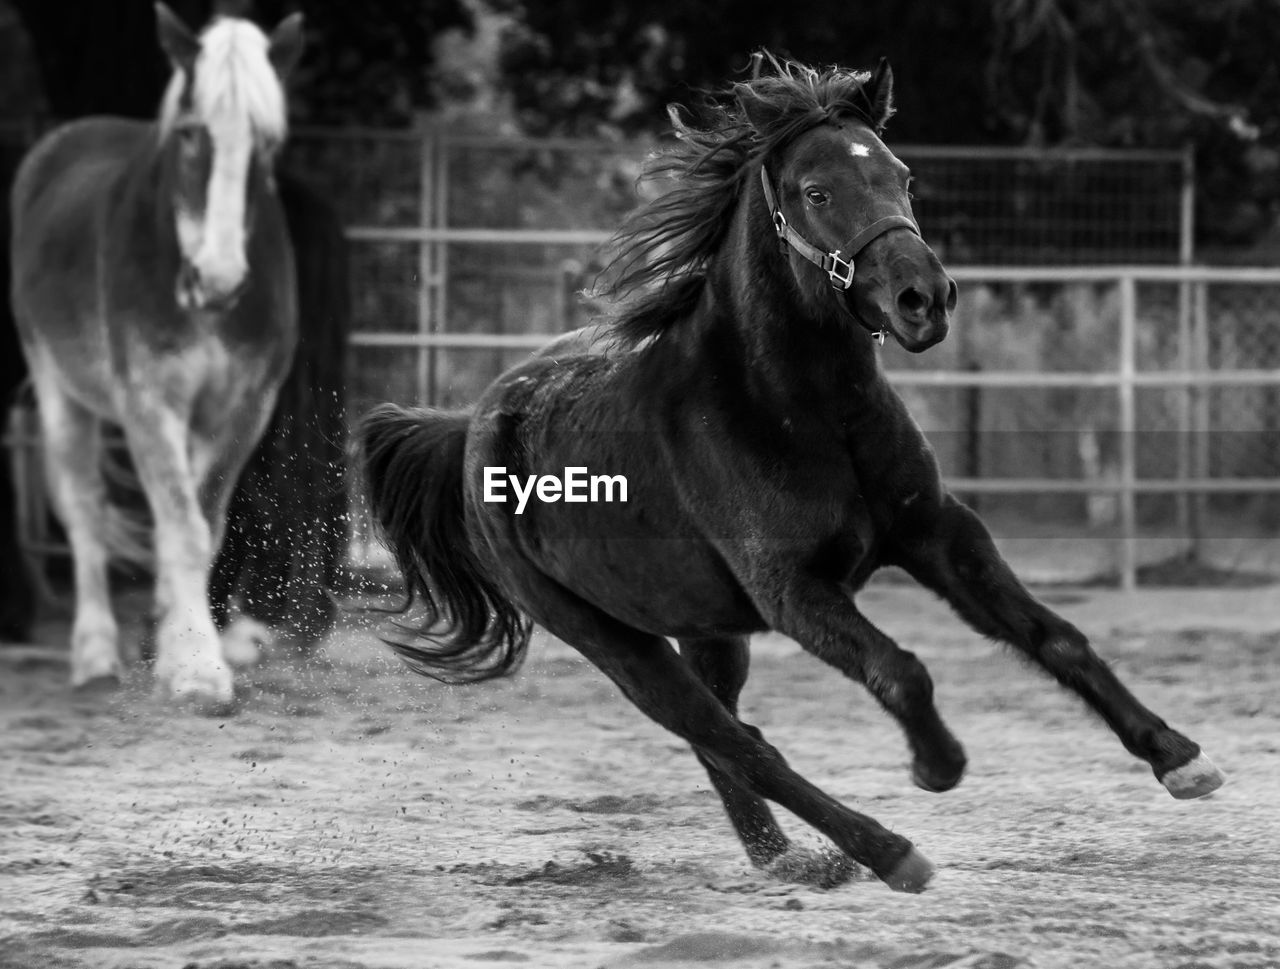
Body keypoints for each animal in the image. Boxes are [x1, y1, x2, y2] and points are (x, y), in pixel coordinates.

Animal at [358, 58, 1218, 890]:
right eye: (817, 191)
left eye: (903, 176)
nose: (925, 299)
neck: (799, 410)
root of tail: (475, 427)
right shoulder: (793, 589)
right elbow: (900, 670)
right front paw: (937, 764)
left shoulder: (938, 534)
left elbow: (1055, 636)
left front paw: (1179, 757)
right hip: (612, 640)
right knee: (737, 744)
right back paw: (884, 852)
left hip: (708, 630)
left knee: (727, 742)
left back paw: (791, 860)